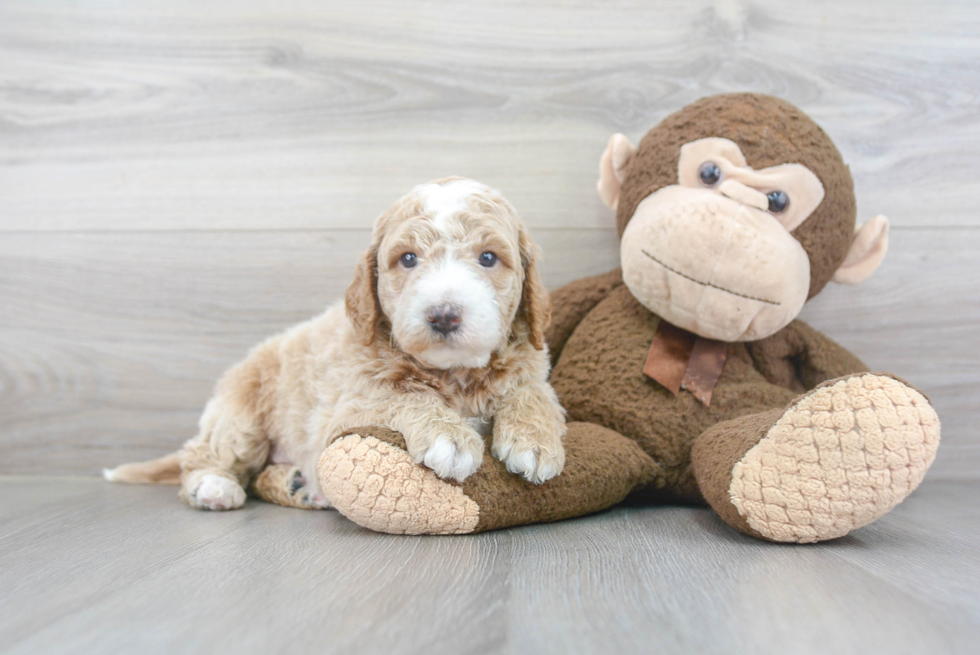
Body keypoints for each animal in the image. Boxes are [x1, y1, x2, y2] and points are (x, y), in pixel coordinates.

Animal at [105, 177, 568, 510]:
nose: (443, 314)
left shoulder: (530, 365)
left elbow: (533, 393)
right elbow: (401, 395)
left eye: (489, 257)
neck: (453, 374)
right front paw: (447, 435)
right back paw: (214, 487)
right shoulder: (345, 406)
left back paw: (298, 486)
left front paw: (535, 441)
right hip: (241, 415)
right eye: (408, 259)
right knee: (204, 454)